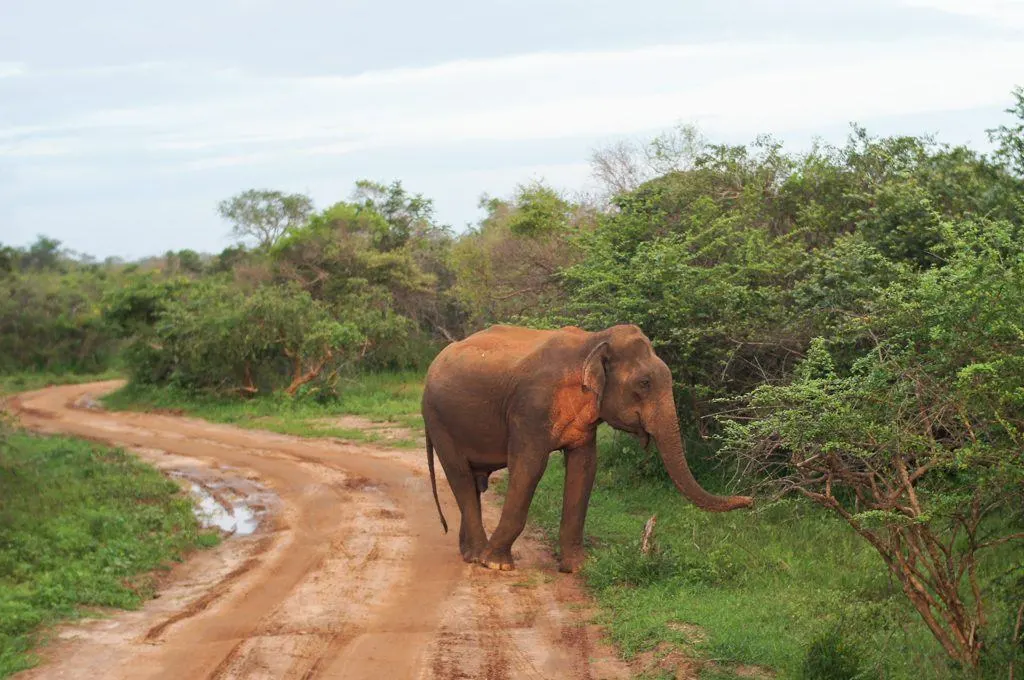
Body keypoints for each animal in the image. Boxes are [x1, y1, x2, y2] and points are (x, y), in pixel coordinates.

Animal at [421, 323, 753, 573]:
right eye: (644, 383)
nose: (750, 501)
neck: (593, 340)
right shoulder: (531, 409)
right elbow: (529, 468)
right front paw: (498, 565)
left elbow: (585, 467)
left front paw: (579, 567)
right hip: (438, 420)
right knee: (459, 475)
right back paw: (478, 556)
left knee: (472, 482)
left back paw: (469, 553)